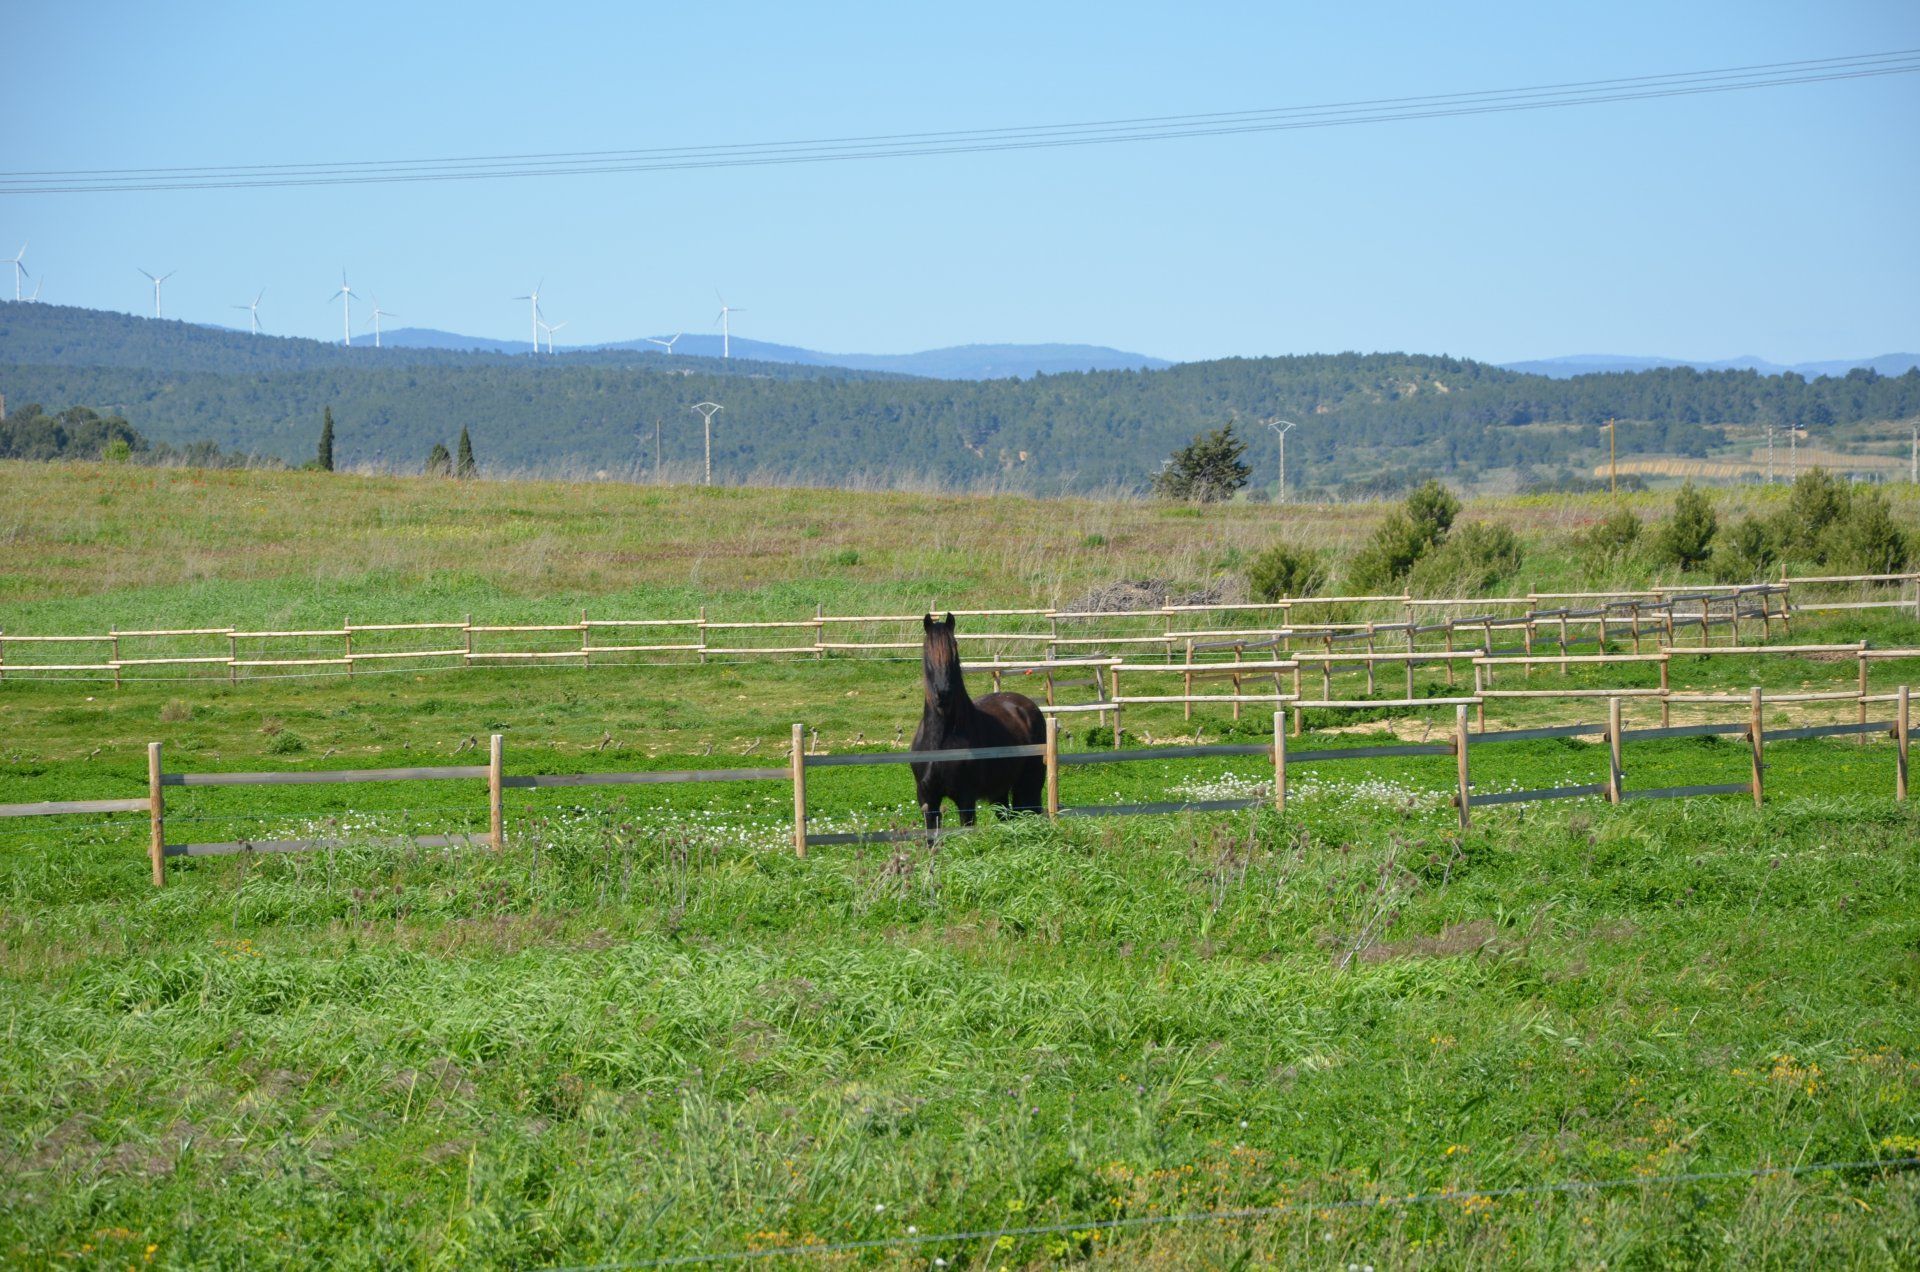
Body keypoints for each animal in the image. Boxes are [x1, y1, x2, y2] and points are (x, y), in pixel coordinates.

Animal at [906, 614, 1044, 833]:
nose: (943, 693)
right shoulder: (927, 799)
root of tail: (1026, 706)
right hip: (999, 791)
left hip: (1030, 783)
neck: (941, 741)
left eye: (954, 646)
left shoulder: (965, 798)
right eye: (927, 648)